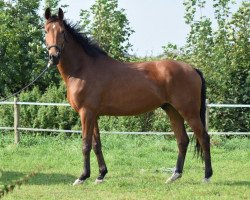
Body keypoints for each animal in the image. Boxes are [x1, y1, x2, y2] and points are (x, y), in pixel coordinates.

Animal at [44, 8, 212, 186]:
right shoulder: (93, 114)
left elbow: (86, 144)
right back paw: (175, 175)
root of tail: (192, 69)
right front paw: (100, 175)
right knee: (182, 140)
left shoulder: (86, 113)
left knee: (204, 137)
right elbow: (96, 144)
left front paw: (82, 177)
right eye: (46, 30)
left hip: (189, 111)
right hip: (172, 110)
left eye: (62, 31)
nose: (54, 57)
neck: (82, 69)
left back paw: (207, 176)